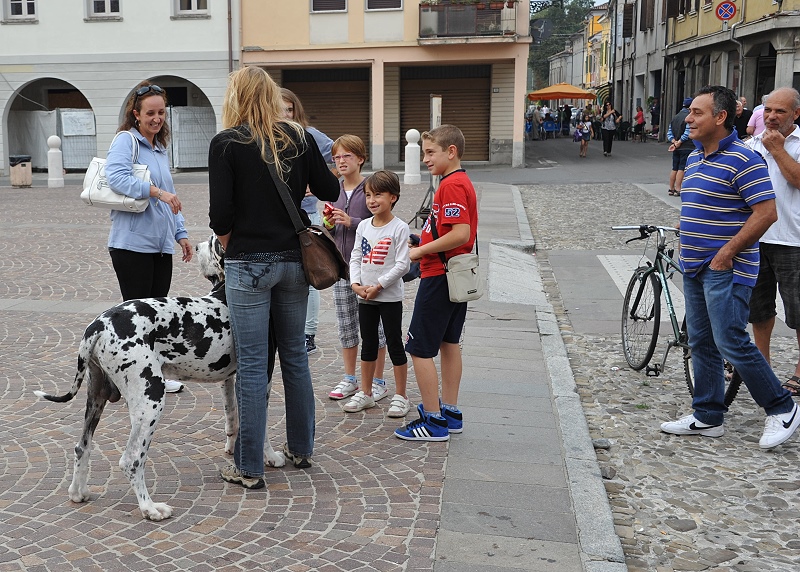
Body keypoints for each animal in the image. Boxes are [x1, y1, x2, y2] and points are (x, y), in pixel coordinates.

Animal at [35, 236, 284, 521]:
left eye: (211, 243)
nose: (195, 247)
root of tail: (98, 325)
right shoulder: (261, 375)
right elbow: (261, 427)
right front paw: (271, 457)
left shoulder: (229, 379)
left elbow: (233, 418)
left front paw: (234, 449)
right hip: (150, 401)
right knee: (131, 461)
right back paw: (150, 508)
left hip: (96, 398)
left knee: (81, 447)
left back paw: (78, 492)